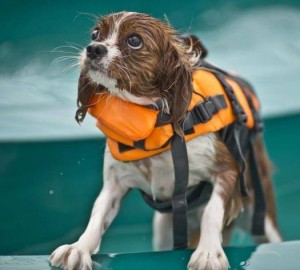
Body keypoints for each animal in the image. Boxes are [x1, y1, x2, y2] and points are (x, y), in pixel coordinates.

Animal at [50, 11, 282, 270]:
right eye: (95, 34)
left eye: (134, 40)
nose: (93, 49)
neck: (153, 123)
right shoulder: (114, 184)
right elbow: (97, 214)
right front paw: (79, 248)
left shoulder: (227, 169)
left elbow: (212, 211)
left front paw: (209, 252)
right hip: (163, 227)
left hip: (260, 213)